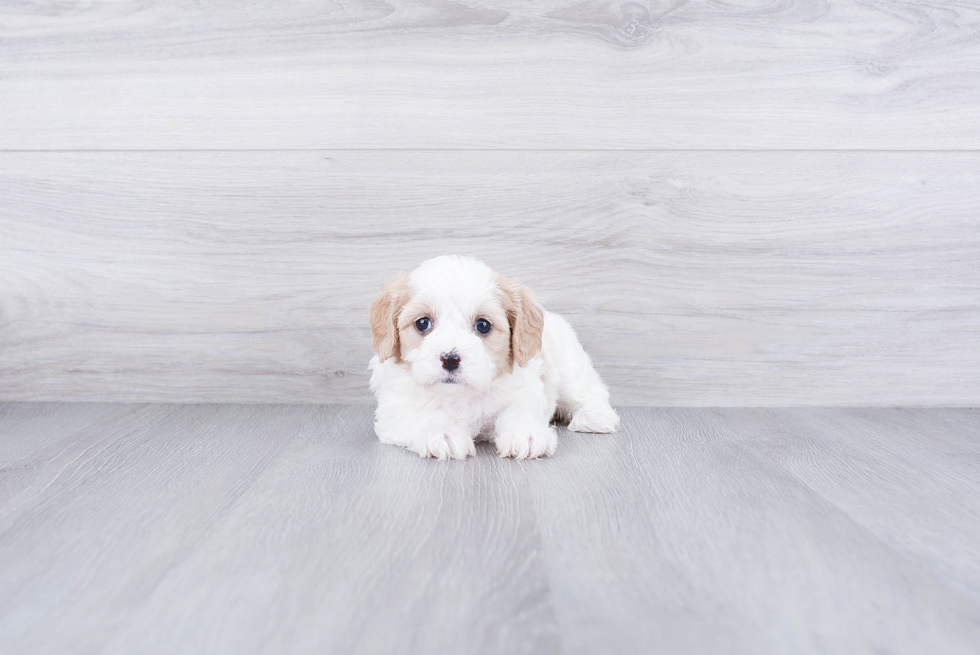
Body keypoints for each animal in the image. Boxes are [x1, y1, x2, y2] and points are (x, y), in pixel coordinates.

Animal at [368, 256, 620, 462]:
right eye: (422, 323)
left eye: (483, 325)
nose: (450, 359)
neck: (460, 396)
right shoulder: (395, 408)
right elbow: (422, 415)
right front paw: (442, 434)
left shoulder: (525, 391)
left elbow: (518, 411)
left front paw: (526, 434)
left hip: (570, 368)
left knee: (591, 391)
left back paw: (595, 417)